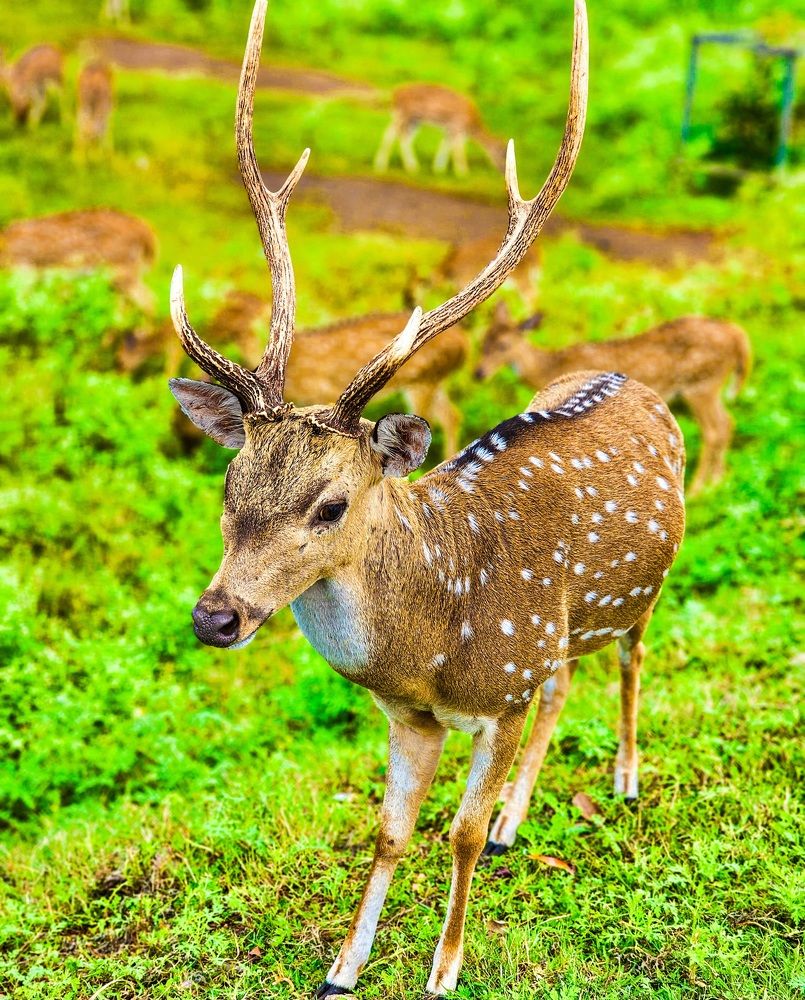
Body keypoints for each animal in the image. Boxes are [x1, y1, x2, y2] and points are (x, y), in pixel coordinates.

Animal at [0, 208, 156, 313]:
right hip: (121, 276)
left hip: (121, 271)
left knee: (148, 300)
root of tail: (147, 233)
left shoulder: (26, 271)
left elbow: (20, 305)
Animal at [375, 83, 507, 177]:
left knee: (401, 136)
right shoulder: (457, 126)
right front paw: (463, 173)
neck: (471, 126)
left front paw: (438, 169)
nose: (503, 171)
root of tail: (394, 93)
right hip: (405, 114)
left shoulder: (449, 129)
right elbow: (458, 150)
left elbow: (446, 146)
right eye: (503, 154)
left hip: (411, 119)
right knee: (394, 135)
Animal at [476, 301, 750, 494]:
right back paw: (718, 483)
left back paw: (700, 489)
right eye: (482, 342)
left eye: (503, 346)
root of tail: (738, 337)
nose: (479, 373)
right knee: (727, 423)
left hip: (701, 384)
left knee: (716, 428)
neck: (550, 368)